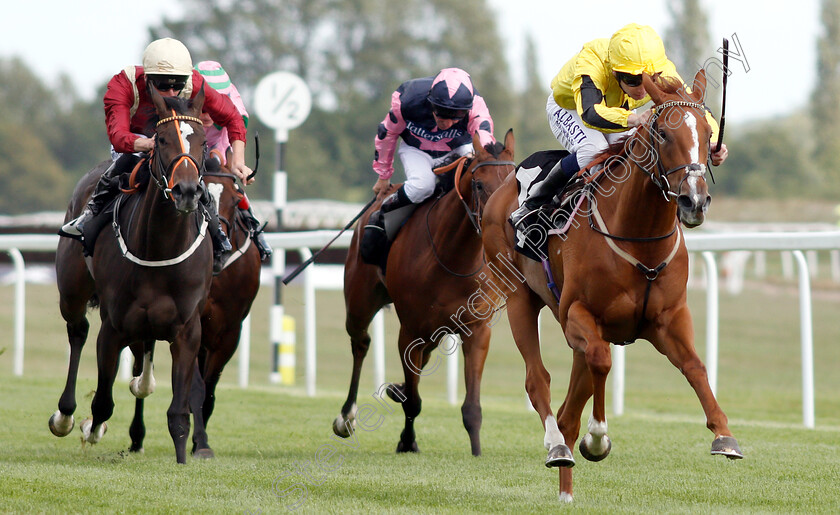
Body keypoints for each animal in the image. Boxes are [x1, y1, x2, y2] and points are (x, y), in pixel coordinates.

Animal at [50, 84, 213, 464]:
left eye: (202, 141)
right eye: (163, 139)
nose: (186, 191)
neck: (160, 247)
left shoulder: (188, 330)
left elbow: (178, 413)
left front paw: (184, 458)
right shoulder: (113, 327)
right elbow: (103, 402)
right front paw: (91, 428)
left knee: (143, 358)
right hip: (72, 291)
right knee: (78, 331)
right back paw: (65, 415)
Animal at [332, 131, 516, 458]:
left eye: (515, 180)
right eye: (479, 184)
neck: (452, 257)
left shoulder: (476, 329)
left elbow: (472, 407)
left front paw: (477, 451)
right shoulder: (410, 330)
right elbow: (414, 402)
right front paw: (407, 441)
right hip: (359, 303)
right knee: (361, 343)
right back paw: (347, 416)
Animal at [480, 70, 740, 502]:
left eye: (707, 133)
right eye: (662, 134)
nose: (694, 201)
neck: (639, 237)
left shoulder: (668, 319)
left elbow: (696, 367)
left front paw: (724, 436)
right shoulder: (577, 316)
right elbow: (603, 361)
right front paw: (597, 439)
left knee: (568, 410)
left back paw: (566, 488)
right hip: (519, 297)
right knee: (540, 382)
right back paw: (557, 447)